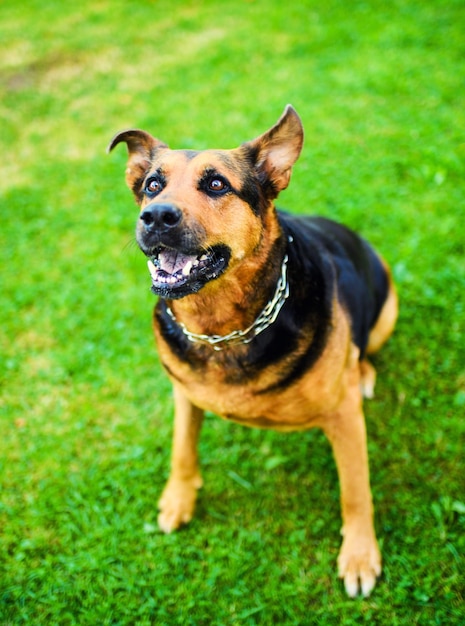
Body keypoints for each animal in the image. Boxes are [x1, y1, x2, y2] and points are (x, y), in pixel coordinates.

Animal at [108, 103, 396, 596]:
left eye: (216, 184)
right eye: (152, 186)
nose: (156, 217)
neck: (221, 327)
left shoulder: (343, 417)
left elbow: (355, 491)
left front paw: (359, 555)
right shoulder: (183, 392)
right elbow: (182, 447)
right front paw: (178, 498)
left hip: (388, 306)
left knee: (366, 352)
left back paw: (364, 373)